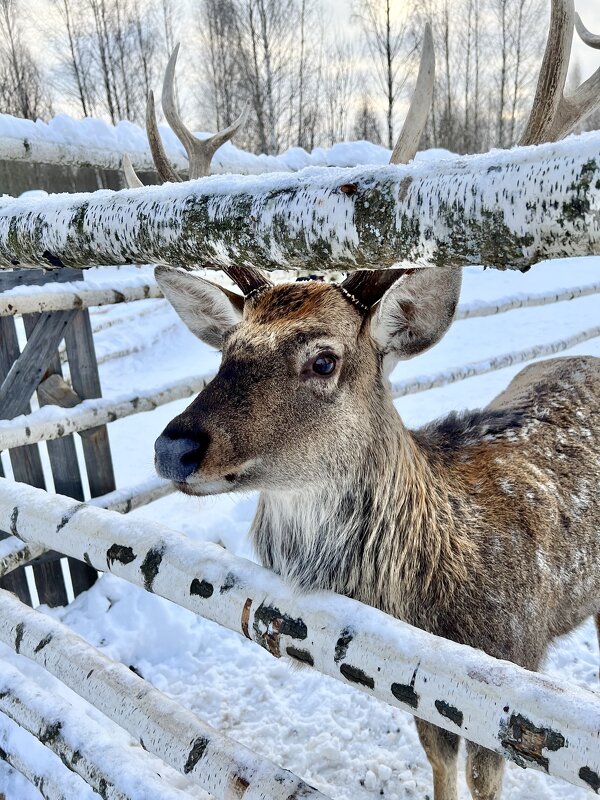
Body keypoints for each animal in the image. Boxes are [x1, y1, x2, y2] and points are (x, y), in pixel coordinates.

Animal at [135, 3, 600, 796]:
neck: (434, 606)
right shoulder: (421, 692)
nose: (174, 445)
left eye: (324, 359)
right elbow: (438, 765)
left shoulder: (511, 674)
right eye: (227, 350)